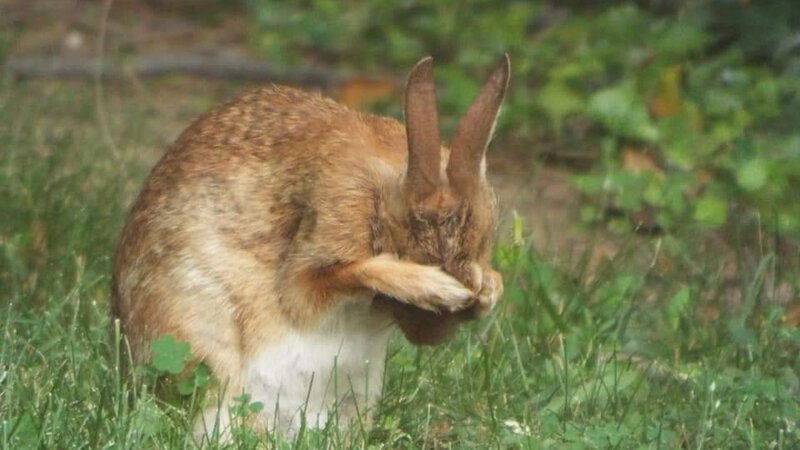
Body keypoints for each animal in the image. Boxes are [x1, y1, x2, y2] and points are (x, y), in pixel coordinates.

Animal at [111, 54, 509, 440]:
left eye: (484, 241)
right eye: (408, 250)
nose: (429, 337)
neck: (381, 198)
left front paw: (487, 288)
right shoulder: (324, 230)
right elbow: (323, 282)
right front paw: (434, 287)